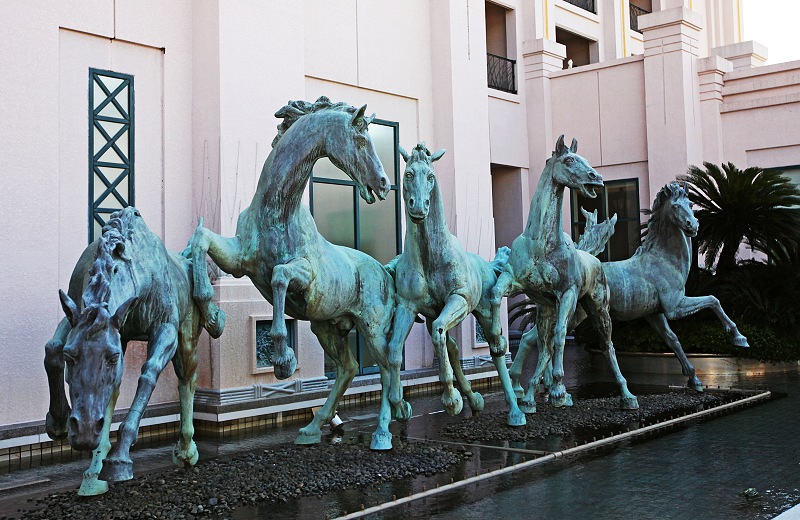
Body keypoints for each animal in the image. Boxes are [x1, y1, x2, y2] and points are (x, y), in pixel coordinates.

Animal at [43, 207, 219, 496]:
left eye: (112, 356)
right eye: (71, 357)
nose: (84, 431)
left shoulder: (165, 329)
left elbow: (148, 374)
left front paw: (120, 458)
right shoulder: (79, 317)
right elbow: (52, 349)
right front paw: (58, 422)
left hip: (187, 338)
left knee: (187, 380)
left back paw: (186, 450)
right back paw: (94, 471)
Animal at [188, 97, 410, 450]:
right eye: (361, 139)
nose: (384, 183)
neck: (276, 210)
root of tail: (384, 272)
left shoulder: (305, 277)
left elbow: (279, 275)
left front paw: (283, 361)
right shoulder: (238, 261)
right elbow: (201, 239)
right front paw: (213, 317)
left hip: (372, 326)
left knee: (388, 365)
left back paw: (382, 433)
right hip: (327, 327)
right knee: (348, 368)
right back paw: (312, 428)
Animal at [386, 142, 528, 426]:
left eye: (430, 176)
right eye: (408, 174)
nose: (419, 208)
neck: (430, 257)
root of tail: (488, 266)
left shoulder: (458, 300)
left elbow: (440, 334)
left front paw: (451, 401)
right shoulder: (408, 306)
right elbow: (395, 348)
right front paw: (399, 405)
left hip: (482, 312)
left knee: (496, 348)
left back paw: (514, 410)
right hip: (431, 314)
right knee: (450, 345)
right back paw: (474, 399)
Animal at [488, 136, 636, 412]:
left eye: (585, 158)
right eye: (568, 160)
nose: (597, 177)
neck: (541, 244)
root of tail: (595, 260)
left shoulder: (567, 292)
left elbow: (560, 336)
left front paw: (558, 389)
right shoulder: (516, 281)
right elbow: (494, 294)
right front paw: (496, 340)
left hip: (595, 309)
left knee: (606, 345)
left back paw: (626, 395)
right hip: (549, 309)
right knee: (542, 345)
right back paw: (529, 397)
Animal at [512, 181, 752, 396]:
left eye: (690, 203)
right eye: (676, 206)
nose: (693, 226)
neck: (664, 260)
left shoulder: (654, 314)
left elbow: (672, 340)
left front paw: (695, 379)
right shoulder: (674, 307)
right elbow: (713, 300)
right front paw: (740, 338)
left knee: (535, 339)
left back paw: (532, 387)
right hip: (575, 315)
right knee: (537, 339)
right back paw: (531, 387)